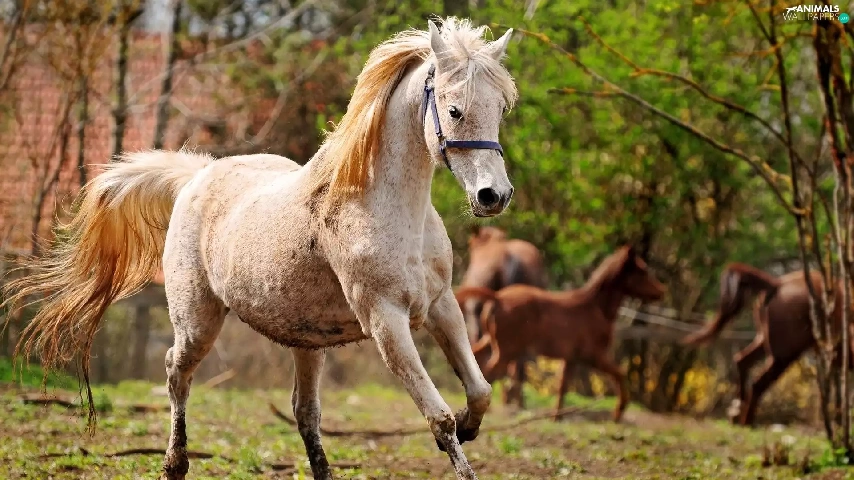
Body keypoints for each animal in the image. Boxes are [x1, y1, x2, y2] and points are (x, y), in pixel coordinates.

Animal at [1, 18, 518, 480]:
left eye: (500, 108)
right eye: (454, 110)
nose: (493, 196)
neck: (383, 206)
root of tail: (197, 176)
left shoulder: (441, 306)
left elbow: (480, 391)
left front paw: (472, 427)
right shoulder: (386, 321)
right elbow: (439, 418)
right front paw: (460, 438)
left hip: (307, 342)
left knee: (305, 412)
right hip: (197, 322)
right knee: (175, 372)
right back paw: (174, 464)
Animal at [457, 245, 666, 422]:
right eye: (643, 271)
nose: (661, 292)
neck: (595, 308)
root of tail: (497, 297)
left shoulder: (571, 358)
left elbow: (562, 386)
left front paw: (556, 417)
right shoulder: (594, 355)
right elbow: (620, 373)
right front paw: (618, 412)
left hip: (492, 342)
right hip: (508, 350)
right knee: (489, 372)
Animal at [680, 263, 852, 426]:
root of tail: (776, 285)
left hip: (765, 342)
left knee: (742, 360)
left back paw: (736, 412)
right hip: (784, 355)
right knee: (758, 383)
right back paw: (747, 422)